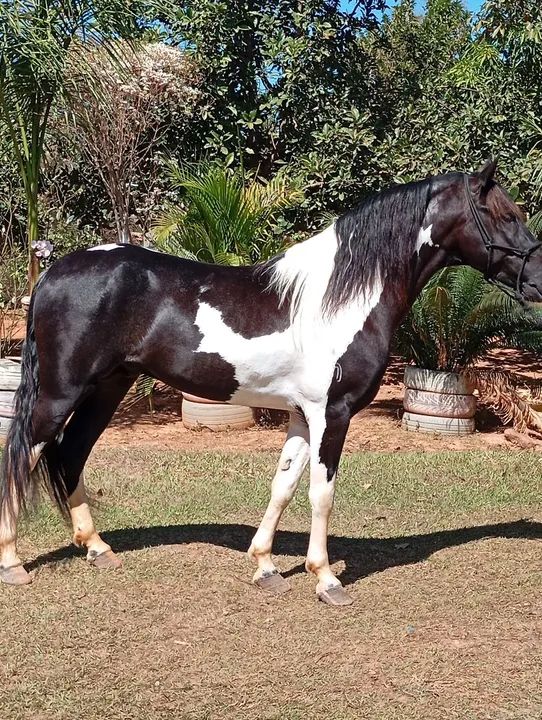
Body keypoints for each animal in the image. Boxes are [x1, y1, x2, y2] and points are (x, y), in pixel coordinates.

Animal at [1, 159, 541, 605]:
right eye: (505, 215)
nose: (538, 279)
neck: (341, 297)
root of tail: (52, 272)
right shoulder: (332, 414)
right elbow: (321, 493)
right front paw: (326, 580)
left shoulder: (303, 417)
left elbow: (283, 485)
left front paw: (264, 566)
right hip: (60, 393)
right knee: (23, 454)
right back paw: (13, 562)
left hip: (107, 389)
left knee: (70, 454)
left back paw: (96, 547)